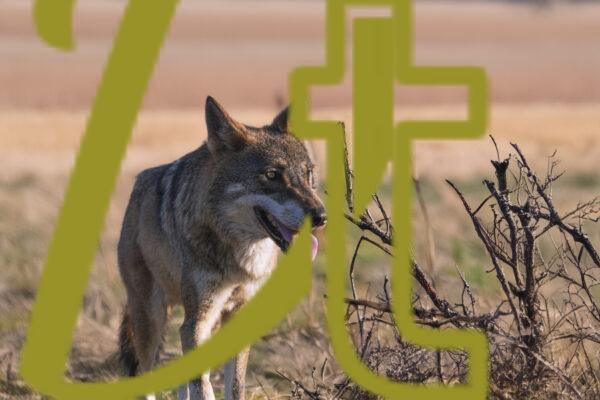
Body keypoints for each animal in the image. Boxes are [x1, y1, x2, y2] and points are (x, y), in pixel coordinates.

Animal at [118, 97, 328, 400]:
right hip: (151, 319)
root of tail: (138, 184)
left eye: (308, 173)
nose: (321, 217)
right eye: (272, 175)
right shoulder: (195, 322)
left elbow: (235, 386)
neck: (241, 255)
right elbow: (203, 387)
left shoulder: (234, 315)